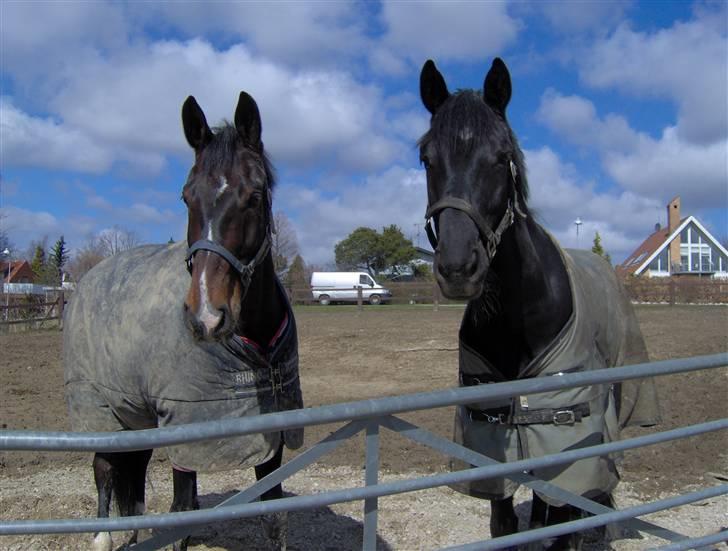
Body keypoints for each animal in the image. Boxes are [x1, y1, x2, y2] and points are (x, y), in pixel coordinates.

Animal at [62, 91, 302, 551]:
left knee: (132, 484)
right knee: (105, 473)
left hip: (135, 416)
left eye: (254, 195)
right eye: (186, 197)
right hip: (101, 412)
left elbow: (275, 518)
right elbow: (182, 516)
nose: (206, 315)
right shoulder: (186, 432)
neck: (254, 346)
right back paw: (102, 537)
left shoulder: (271, 437)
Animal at [416, 58, 660, 548]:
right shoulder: (493, 454)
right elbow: (507, 525)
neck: (518, 318)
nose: (458, 267)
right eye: (427, 158)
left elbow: (566, 521)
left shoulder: (570, 446)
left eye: (501, 156)